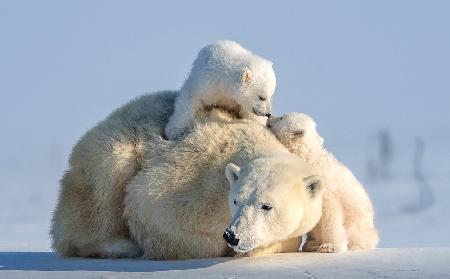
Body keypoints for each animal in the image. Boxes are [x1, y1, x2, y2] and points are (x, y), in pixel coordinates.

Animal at [51, 92, 324, 260]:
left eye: (267, 206)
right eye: (236, 200)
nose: (233, 236)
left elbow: (287, 239)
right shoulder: (197, 179)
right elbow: (146, 202)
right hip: (107, 153)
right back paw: (120, 246)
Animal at [268, 112, 378, 253]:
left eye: (282, 117)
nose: (269, 115)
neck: (309, 159)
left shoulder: (326, 189)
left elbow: (330, 215)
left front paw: (331, 246)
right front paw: (311, 244)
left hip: (359, 227)